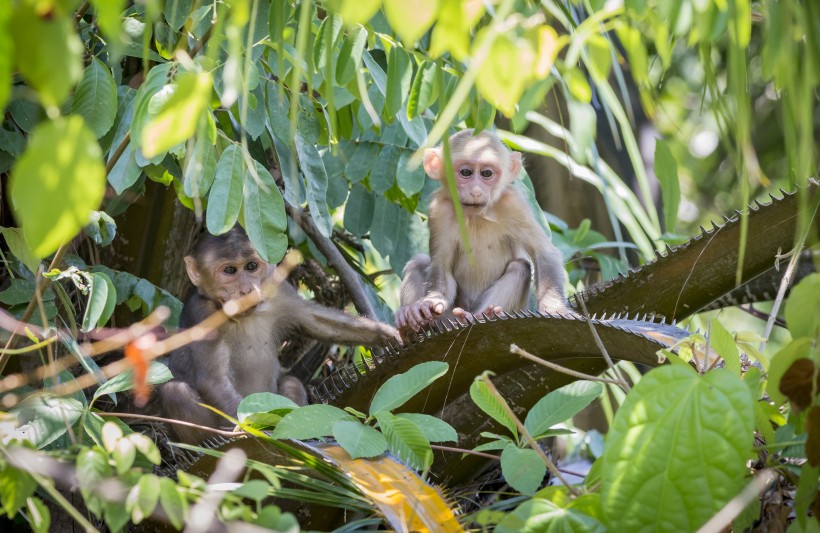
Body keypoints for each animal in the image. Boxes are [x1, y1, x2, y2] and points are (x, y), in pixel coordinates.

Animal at [161, 224, 400, 440]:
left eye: (251, 266)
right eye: (229, 270)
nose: (246, 290)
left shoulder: (279, 291)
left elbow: (318, 321)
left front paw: (386, 333)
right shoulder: (201, 313)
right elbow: (213, 380)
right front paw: (251, 428)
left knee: (291, 381)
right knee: (175, 392)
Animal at [394, 128, 568, 332]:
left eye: (486, 173)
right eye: (465, 172)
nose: (476, 191)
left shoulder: (514, 204)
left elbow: (543, 252)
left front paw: (555, 309)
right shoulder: (439, 210)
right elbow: (442, 265)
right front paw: (430, 301)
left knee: (520, 267)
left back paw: (484, 315)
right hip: (448, 319)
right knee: (419, 262)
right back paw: (409, 325)